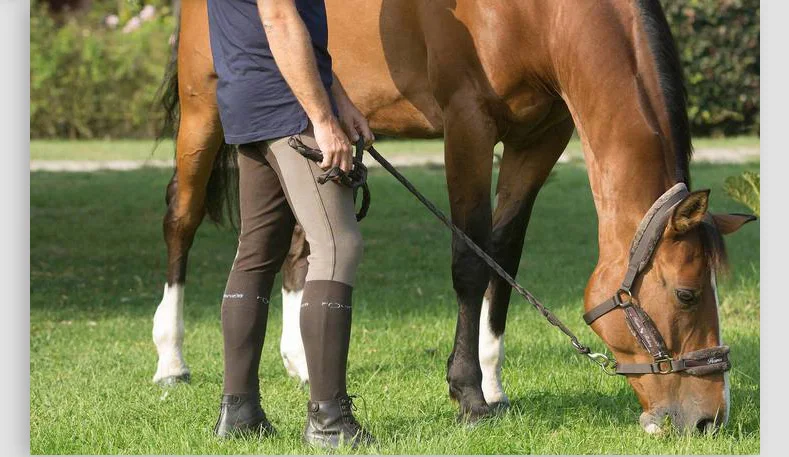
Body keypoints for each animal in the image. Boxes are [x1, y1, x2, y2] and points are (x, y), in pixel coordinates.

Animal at [151, 0, 755, 434]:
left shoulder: (540, 137)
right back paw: (171, 362)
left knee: (301, 245)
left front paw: (493, 384)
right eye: (687, 294)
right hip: (204, 114)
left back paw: (300, 363)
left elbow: (503, 256)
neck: (535, 13)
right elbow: (469, 259)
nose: (709, 419)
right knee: (181, 221)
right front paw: (468, 394)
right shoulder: (468, 124)